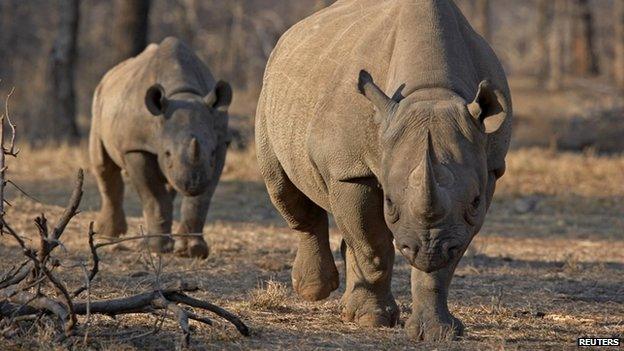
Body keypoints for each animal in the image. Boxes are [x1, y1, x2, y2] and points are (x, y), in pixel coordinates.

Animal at [89, 37, 232, 258]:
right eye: (167, 153)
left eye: (212, 153)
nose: (193, 184)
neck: (183, 94)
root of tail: (110, 74)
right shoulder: (137, 147)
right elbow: (153, 196)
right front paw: (155, 249)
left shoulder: (221, 142)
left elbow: (201, 200)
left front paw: (192, 251)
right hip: (99, 102)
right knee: (103, 165)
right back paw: (109, 234)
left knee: (168, 185)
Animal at [255, 0, 512, 340]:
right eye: (389, 202)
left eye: (474, 202)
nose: (427, 249)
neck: (431, 90)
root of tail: (288, 36)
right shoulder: (349, 169)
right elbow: (372, 243)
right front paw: (371, 320)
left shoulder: (488, 167)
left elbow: (445, 262)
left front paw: (437, 332)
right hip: (271, 95)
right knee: (283, 188)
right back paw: (315, 291)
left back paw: (346, 308)